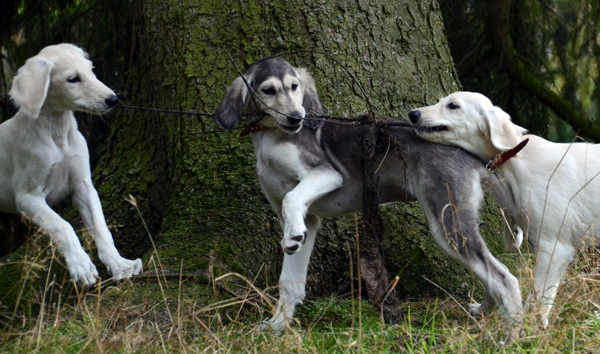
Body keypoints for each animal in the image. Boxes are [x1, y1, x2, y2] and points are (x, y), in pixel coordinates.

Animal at [0, 44, 142, 286]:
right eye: (73, 79)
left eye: (92, 70)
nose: (113, 100)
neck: (57, 133)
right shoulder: (28, 198)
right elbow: (63, 225)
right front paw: (81, 265)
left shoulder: (83, 187)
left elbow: (101, 228)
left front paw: (120, 264)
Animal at [410, 92, 600, 326]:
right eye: (440, 101)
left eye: (453, 106)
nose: (412, 114)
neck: (517, 158)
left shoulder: (554, 247)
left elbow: (537, 298)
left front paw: (530, 329)